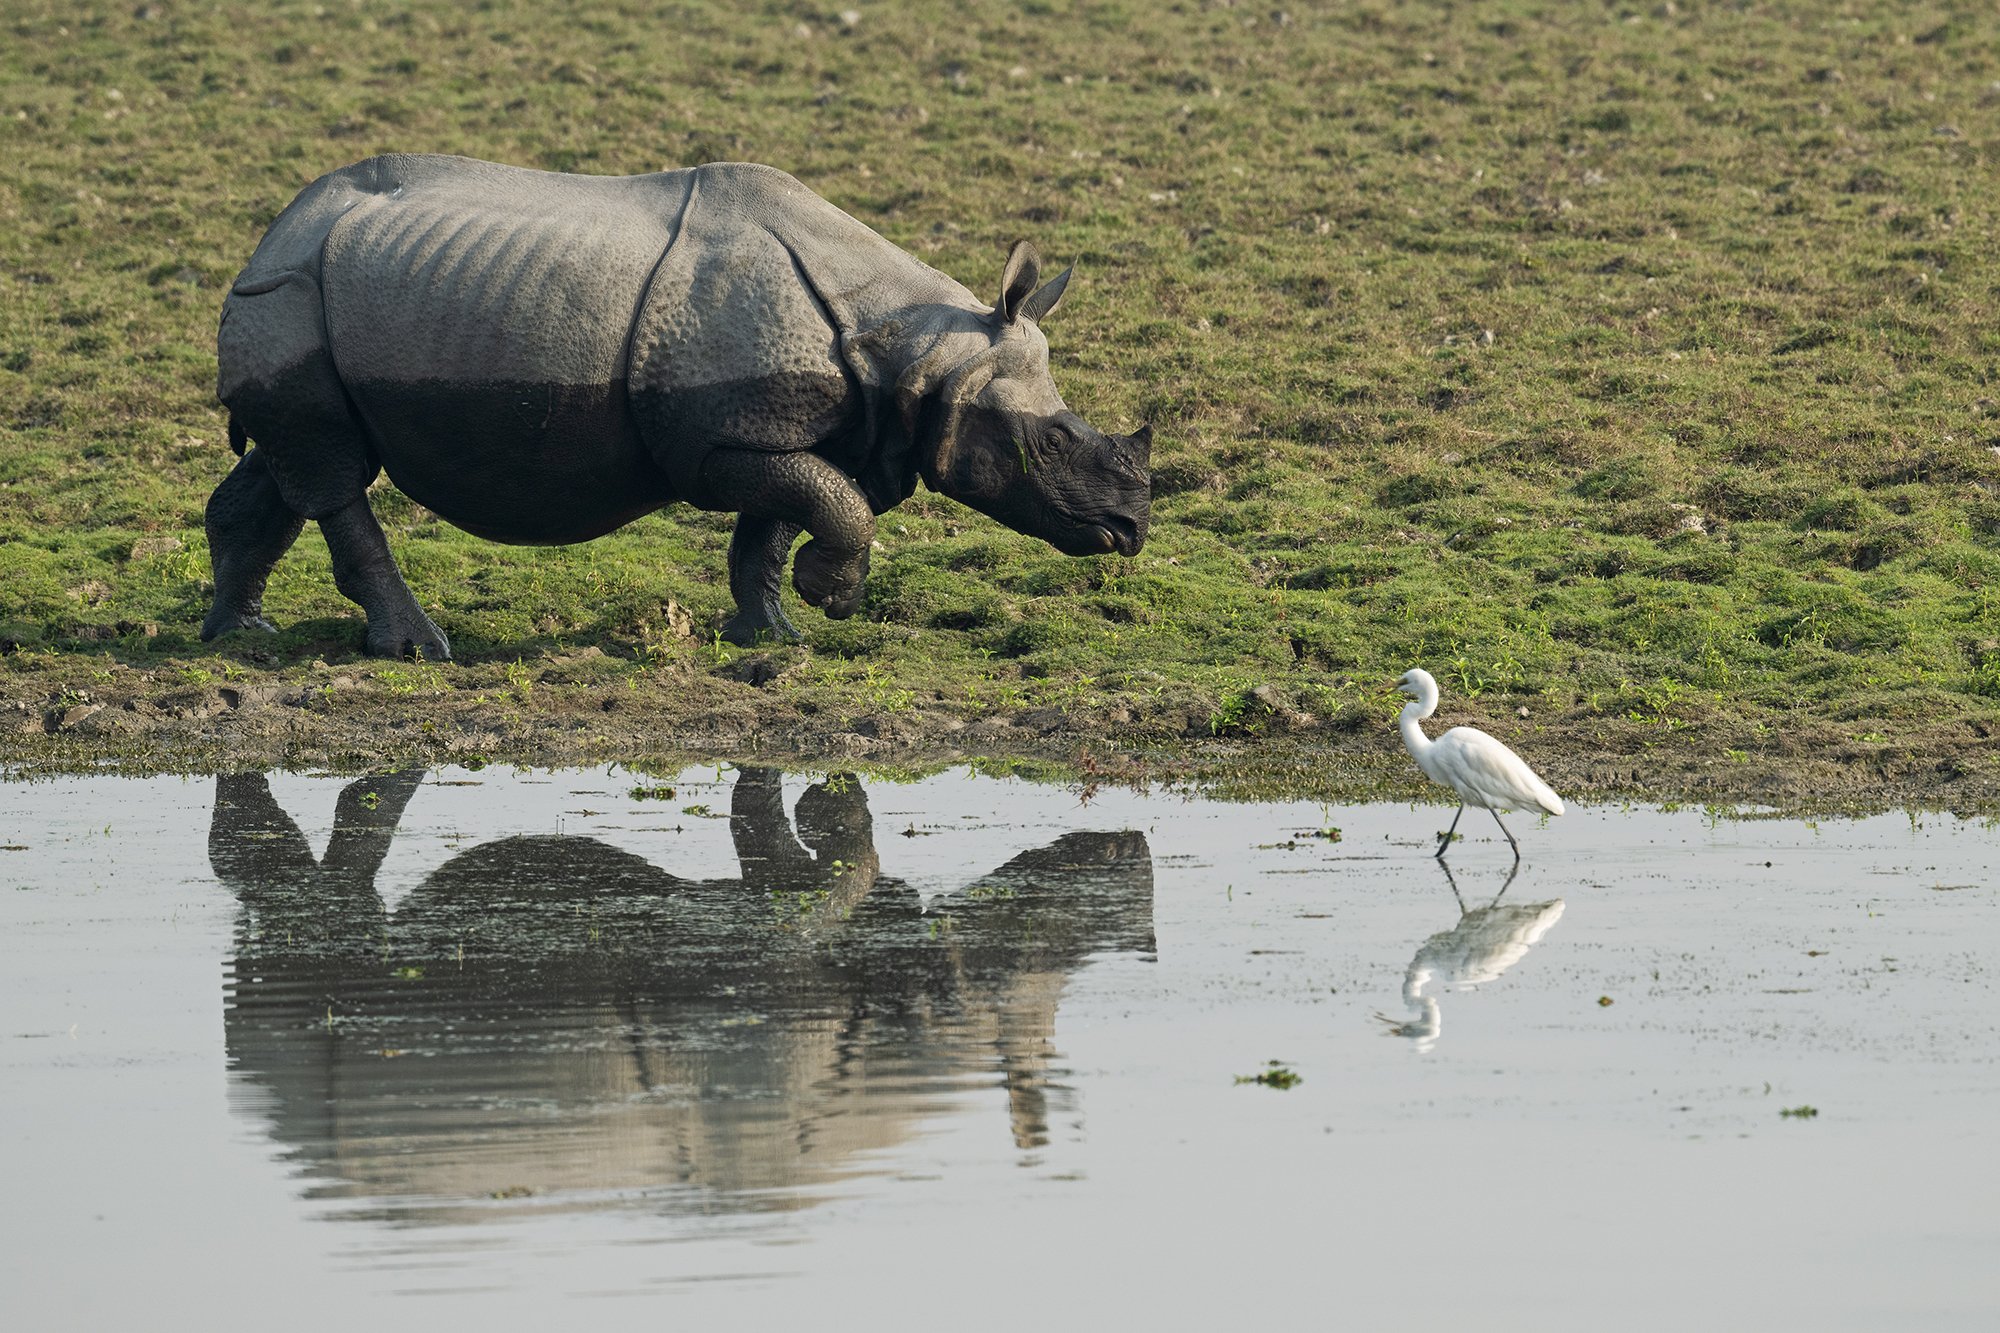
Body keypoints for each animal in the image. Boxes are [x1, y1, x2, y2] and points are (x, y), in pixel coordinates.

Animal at [203, 154, 1152, 658]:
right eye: (1052, 444)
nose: (1131, 529)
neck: (920, 352)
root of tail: (272, 231)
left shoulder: (797, 426)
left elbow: (780, 523)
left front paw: (775, 636)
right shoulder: (717, 440)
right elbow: (830, 507)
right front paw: (831, 598)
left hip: (306, 295)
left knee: (288, 468)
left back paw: (241, 635)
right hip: (288, 295)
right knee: (331, 470)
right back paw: (416, 651)